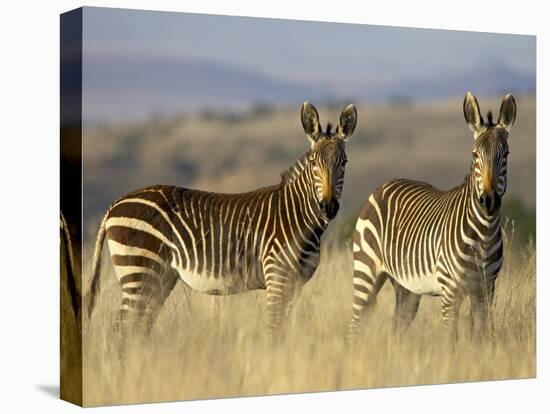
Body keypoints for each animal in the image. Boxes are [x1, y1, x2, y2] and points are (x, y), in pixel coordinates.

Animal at [87, 102, 360, 334]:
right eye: (314, 163)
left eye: (344, 162)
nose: (328, 207)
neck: (297, 216)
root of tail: (115, 203)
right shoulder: (277, 277)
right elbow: (273, 330)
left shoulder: (296, 284)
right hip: (139, 271)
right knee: (121, 330)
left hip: (159, 278)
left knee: (138, 328)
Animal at [350, 91, 516, 340]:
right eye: (474, 155)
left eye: (505, 155)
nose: (488, 201)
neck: (483, 234)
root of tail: (383, 185)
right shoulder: (450, 293)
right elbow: (452, 339)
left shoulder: (486, 291)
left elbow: (482, 337)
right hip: (365, 270)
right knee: (355, 323)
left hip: (406, 287)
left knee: (397, 326)